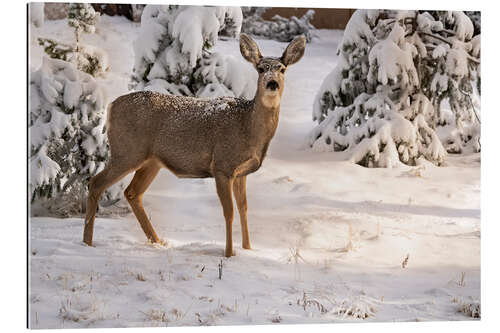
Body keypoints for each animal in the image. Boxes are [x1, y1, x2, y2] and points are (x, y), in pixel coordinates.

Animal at [83, 33, 304, 256]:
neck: (248, 129)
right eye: (260, 68)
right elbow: (229, 211)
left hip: (151, 161)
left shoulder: (242, 173)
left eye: (282, 69)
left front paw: (248, 249)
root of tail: (111, 106)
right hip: (127, 150)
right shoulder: (222, 165)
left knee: (132, 192)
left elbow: (244, 209)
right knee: (96, 182)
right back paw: (87, 243)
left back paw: (158, 241)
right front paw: (229, 253)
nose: (272, 83)